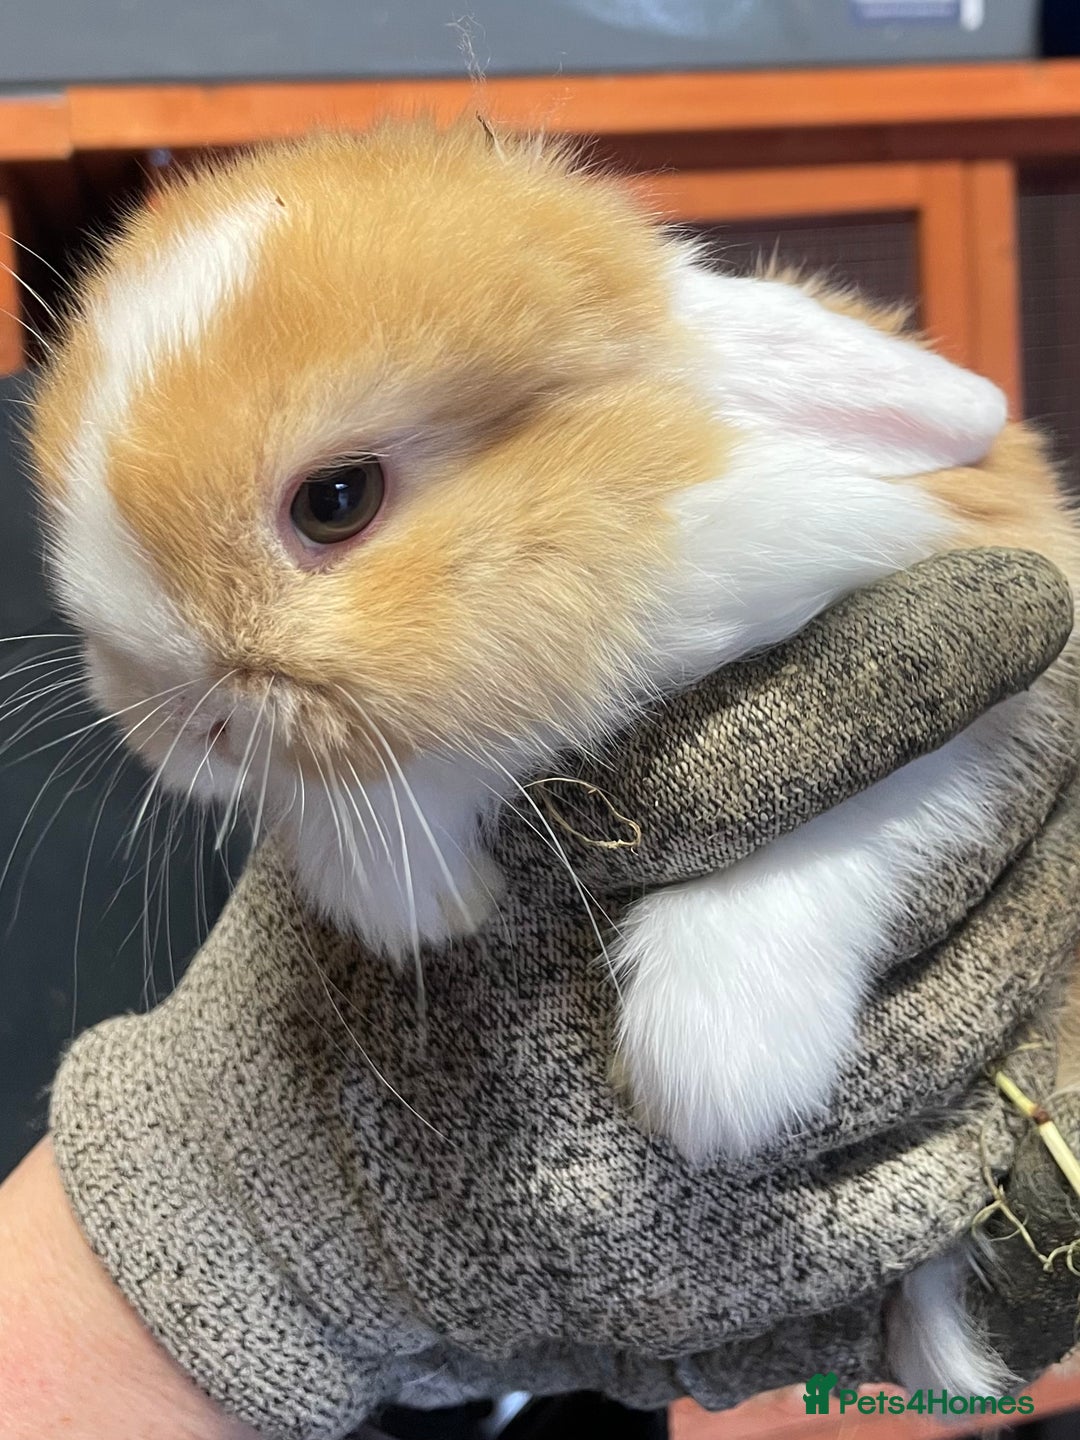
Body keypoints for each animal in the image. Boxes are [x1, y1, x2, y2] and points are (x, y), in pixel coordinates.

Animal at [28, 119, 1080, 1398]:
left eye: (336, 500)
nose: (168, 719)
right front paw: (420, 903)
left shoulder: (980, 686)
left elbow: (847, 823)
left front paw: (715, 1069)